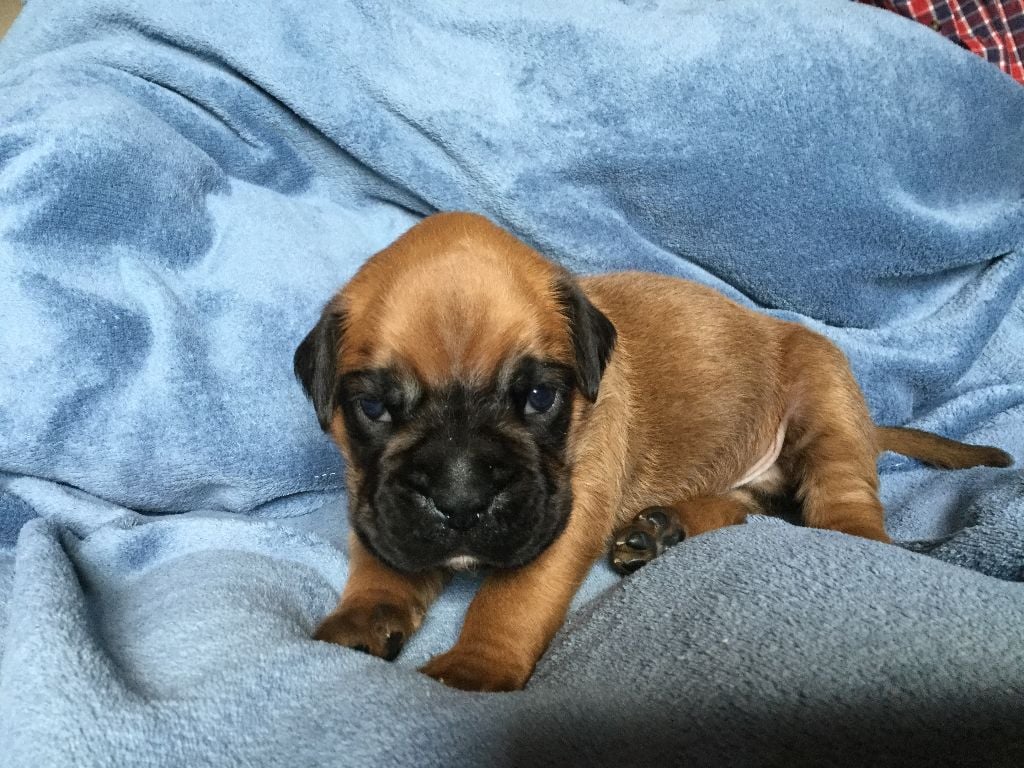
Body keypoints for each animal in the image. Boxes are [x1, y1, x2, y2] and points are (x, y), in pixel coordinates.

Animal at [295, 212, 1012, 692]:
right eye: (374, 409)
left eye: (537, 397)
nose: (461, 497)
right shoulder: (377, 506)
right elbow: (381, 565)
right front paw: (363, 613)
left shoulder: (566, 514)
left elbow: (513, 596)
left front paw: (477, 666)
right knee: (743, 507)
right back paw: (666, 528)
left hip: (825, 396)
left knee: (844, 499)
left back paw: (851, 539)